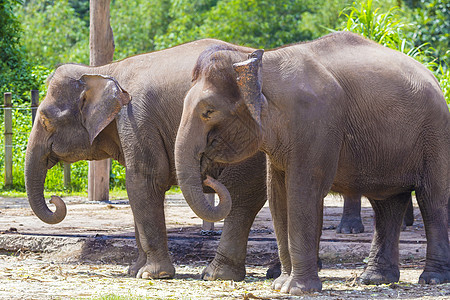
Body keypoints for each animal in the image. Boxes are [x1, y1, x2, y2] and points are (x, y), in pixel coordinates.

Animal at [25, 38, 270, 282]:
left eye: (46, 120)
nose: (55, 199)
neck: (102, 71)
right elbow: (138, 191)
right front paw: (134, 271)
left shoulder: (137, 119)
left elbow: (144, 180)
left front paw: (151, 274)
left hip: (248, 148)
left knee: (240, 196)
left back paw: (216, 275)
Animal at [175, 31, 450, 294]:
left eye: (208, 111)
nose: (208, 174)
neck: (263, 61)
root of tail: (434, 79)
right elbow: (278, 196)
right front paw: (280, 285)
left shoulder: (316, 123)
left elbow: (302, 192)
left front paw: (297, 289)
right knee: (387, 204)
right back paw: (374, 280)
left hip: (435, 136)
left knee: (432, 200)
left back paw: (432, 279)